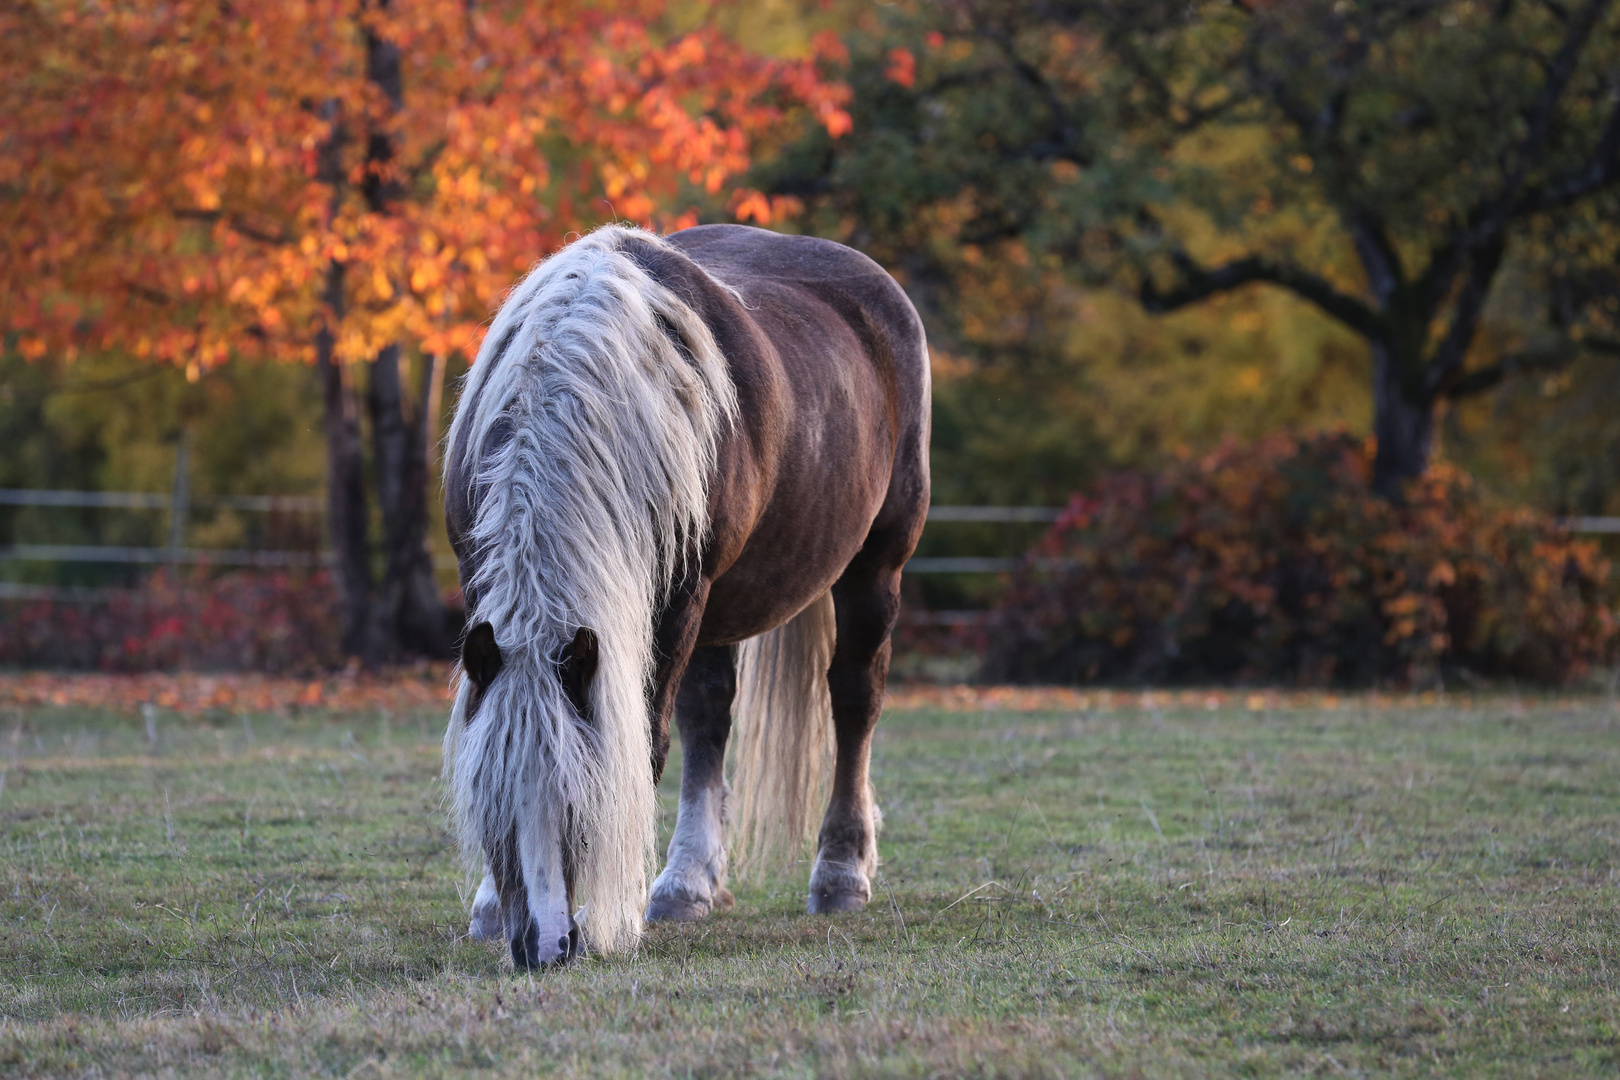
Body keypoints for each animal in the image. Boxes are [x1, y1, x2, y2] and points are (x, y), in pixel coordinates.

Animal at [443, 221, 933, 971]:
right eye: (489, 801)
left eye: (580, 807)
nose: (543, 947)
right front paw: (493, 907)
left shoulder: (676, 602)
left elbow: (644, 745)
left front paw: (610, 916)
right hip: (719, 610)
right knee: (711, 718)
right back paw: (689, 883)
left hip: (873, 568)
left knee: (855, 702)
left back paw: (841, 873)